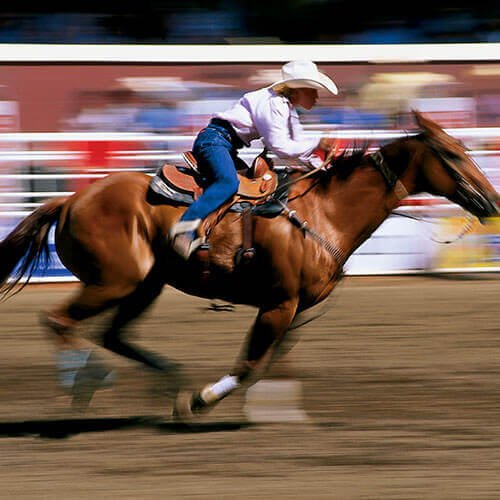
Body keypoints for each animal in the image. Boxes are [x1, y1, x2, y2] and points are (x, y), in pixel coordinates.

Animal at [0, 110, 498, 418]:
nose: (491, 200)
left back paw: (151, 380)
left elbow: (274, 360)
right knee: (60, 320)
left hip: (144, 286)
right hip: (114, 282)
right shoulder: (279, 302)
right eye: (452, 154)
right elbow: (250, 362)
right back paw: (87, 382)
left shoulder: (301, 309)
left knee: (111, 335)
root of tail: (70, 200)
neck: (326, 211)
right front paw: (200, 401)